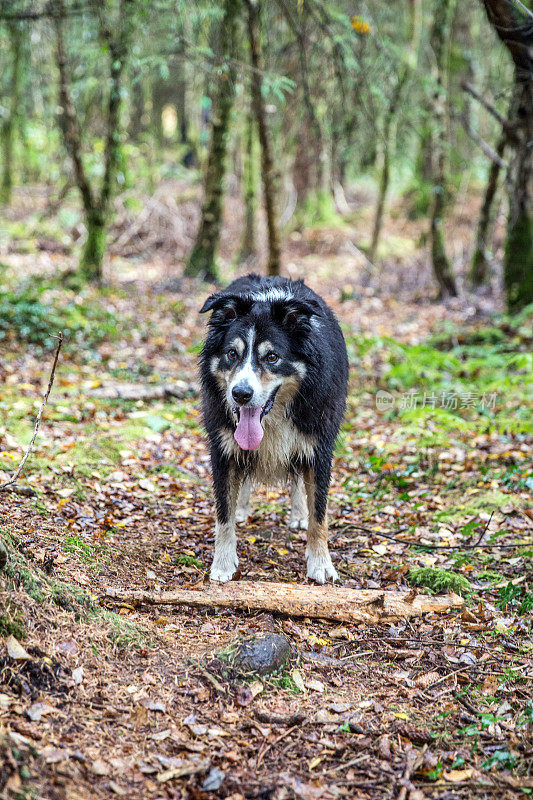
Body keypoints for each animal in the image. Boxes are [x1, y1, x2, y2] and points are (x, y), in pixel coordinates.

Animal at [197, 278, 348, 584]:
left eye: (272, 357)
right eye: (232, 353)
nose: (240, 394)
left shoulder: (318, 447)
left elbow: (319, 512)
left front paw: (320, 564)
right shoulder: (222, 448)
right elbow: (223, 512)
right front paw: (223, 563)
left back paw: (299, 514)